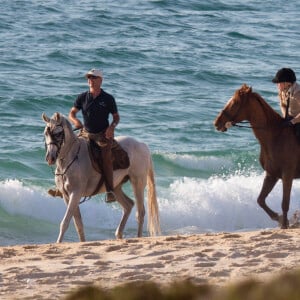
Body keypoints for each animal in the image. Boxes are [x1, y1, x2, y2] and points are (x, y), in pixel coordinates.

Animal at [41, 111, 162, 243]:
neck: (71, 158)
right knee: (128, 205)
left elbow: (65, 222)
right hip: (116, 187)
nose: (50, 158)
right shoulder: (66, 196)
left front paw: (58, 243)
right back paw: (119, 234)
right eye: (46, 133)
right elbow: (78, 224)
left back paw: (138, 238)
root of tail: (142, 145)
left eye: (58, 134)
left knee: (140, 213)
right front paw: (82, 242)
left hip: (137, 183)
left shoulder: (75, 194)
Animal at [213, 84, 300, 230]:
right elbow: (260, 200)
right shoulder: (271, 174)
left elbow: (285, 203)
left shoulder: (287, 175)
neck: (275, 137)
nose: (217, 122)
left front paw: (284, 224)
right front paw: (279, 218)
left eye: (235, 103)